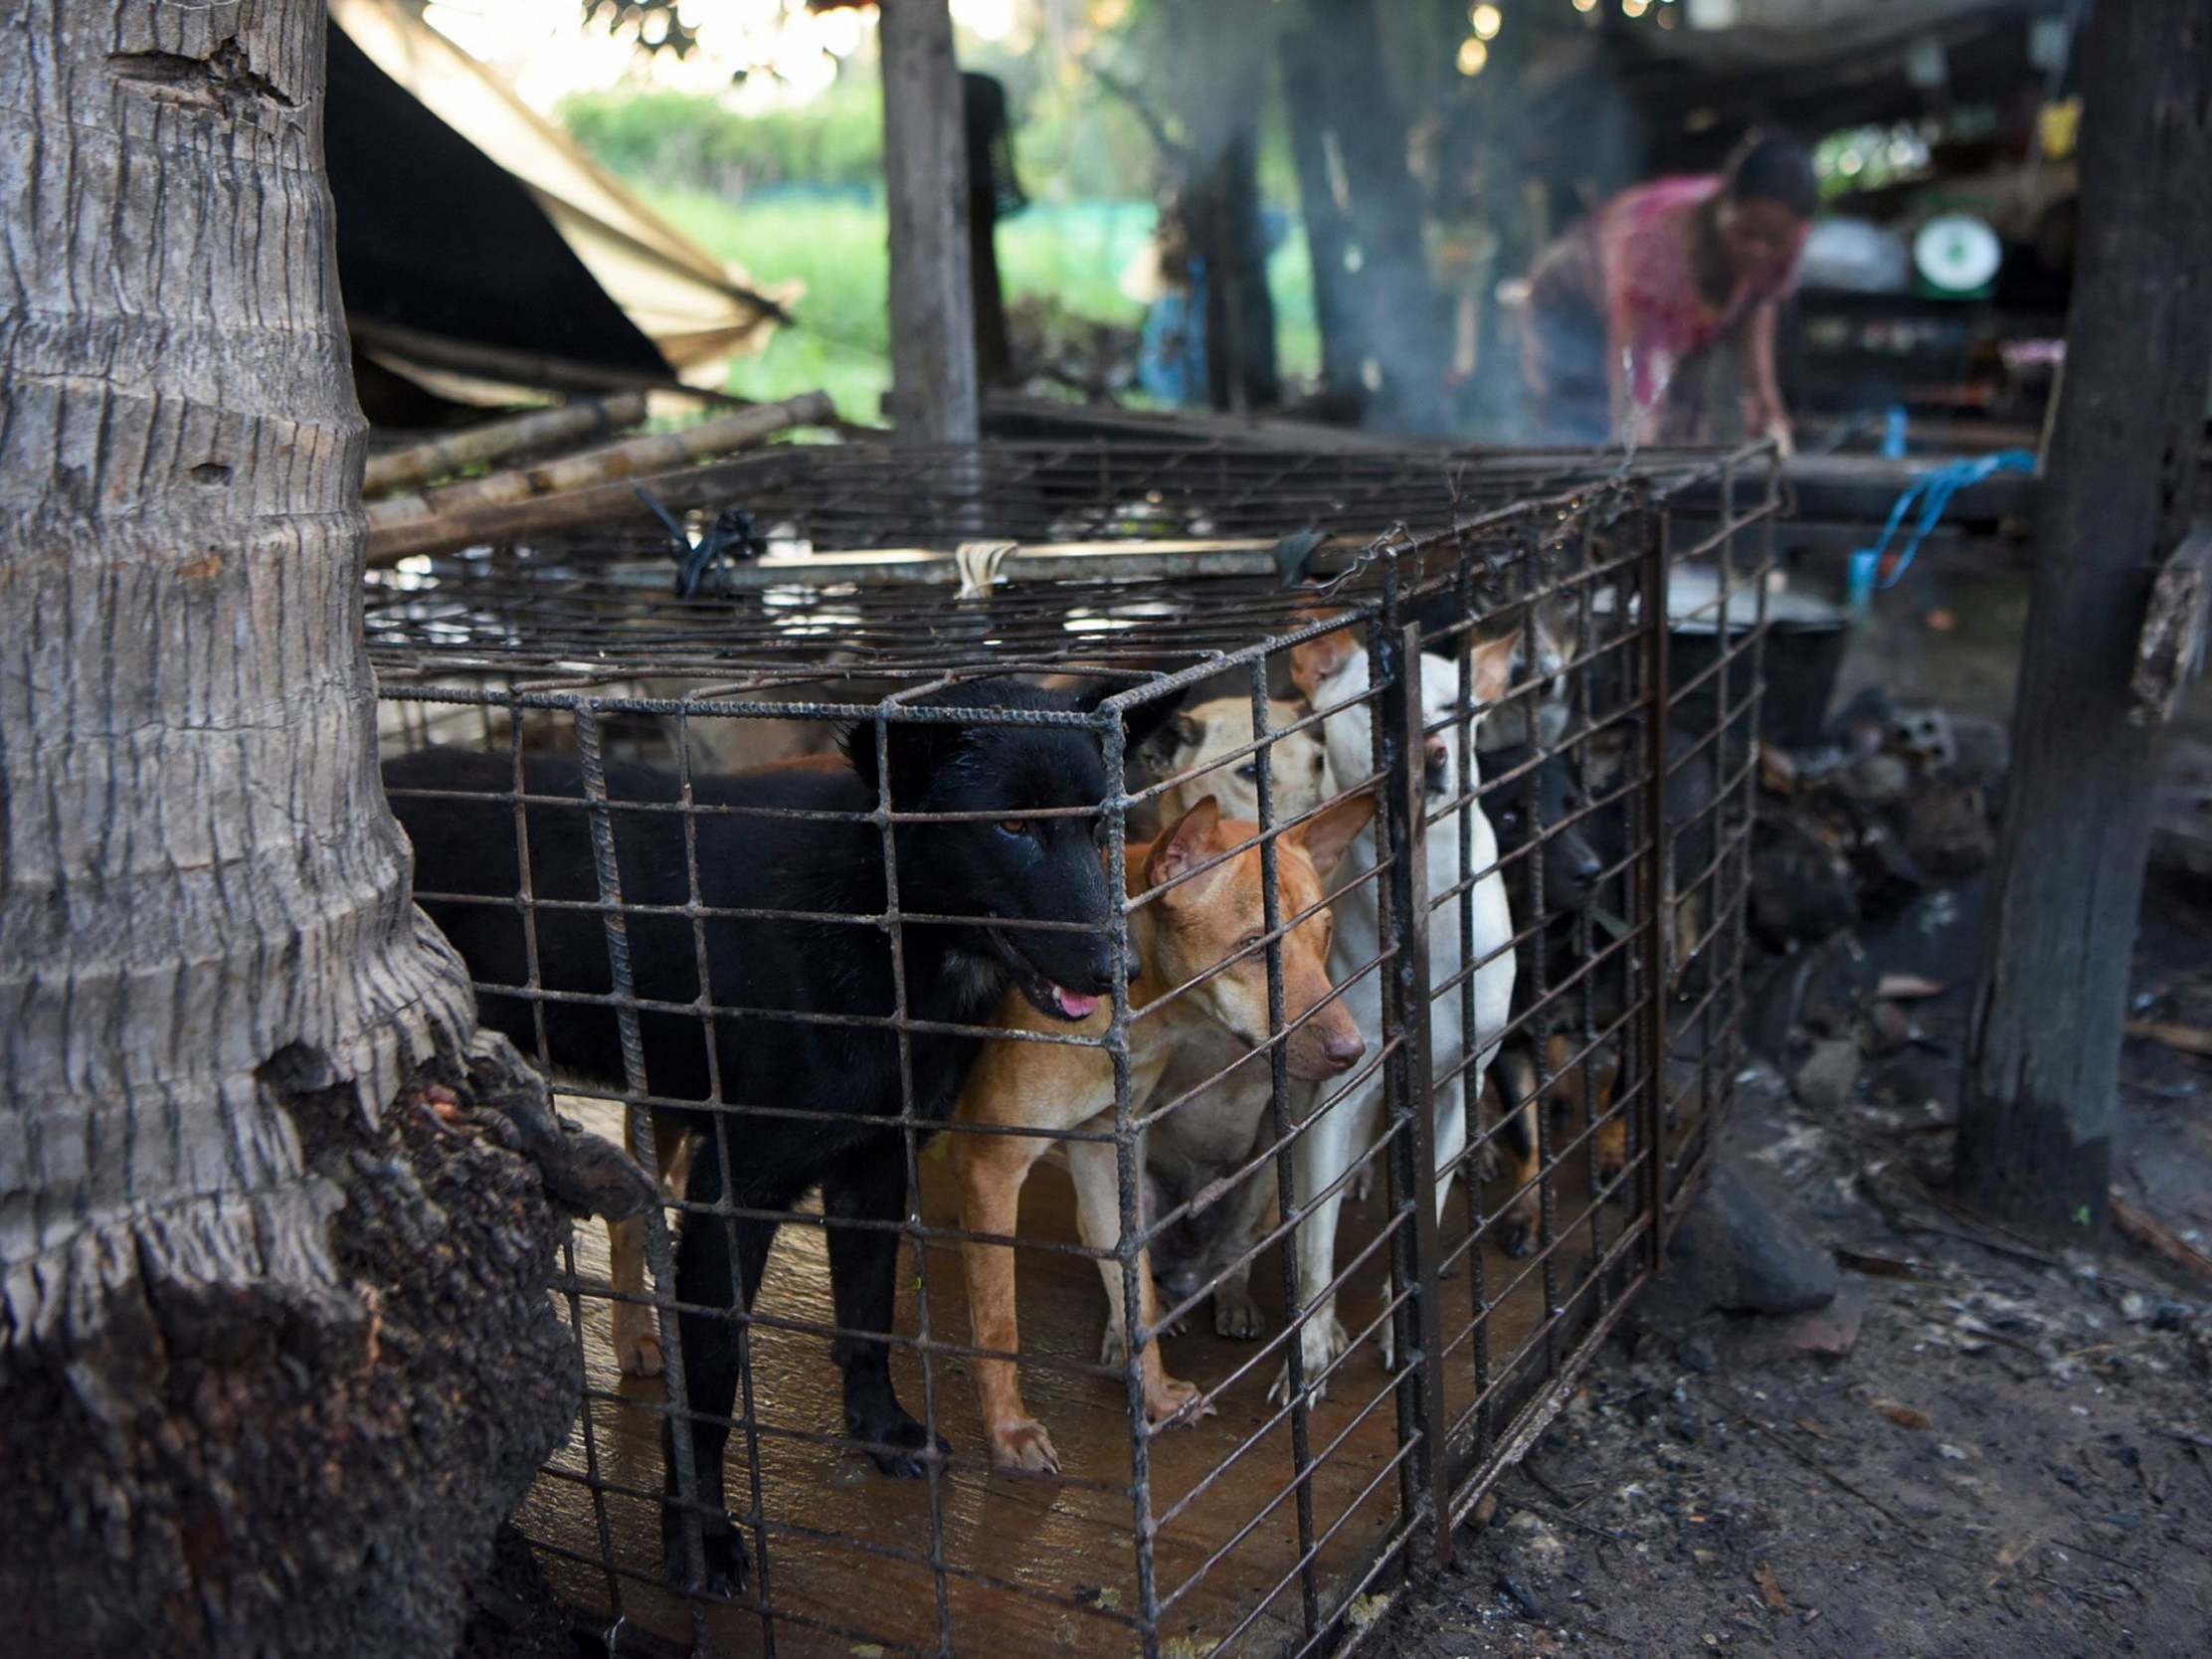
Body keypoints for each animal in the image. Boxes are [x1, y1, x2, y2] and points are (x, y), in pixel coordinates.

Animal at [384, 680, 1177, 1601]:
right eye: (1013, 826)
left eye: (1098, 826)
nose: (1119, 972)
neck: (875, 926)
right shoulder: (734, 1193)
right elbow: (710, 1384)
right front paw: (700, 1536)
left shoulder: (873, 1168)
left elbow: (866, 1316)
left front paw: (881, 1431)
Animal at [960, 796, 1371, 1477]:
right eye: (1254, 947)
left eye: (1327, 935)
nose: (1352, 1052)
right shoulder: (993, 1163)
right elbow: (998, 1322)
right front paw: (1008, 1433)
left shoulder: (1102, 1152)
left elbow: (1135, 1294)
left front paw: (1152, 1394)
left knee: (1218, 1257)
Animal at [1265, 624, 1522, 1406]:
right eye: (1378, 711)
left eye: (1456, 708)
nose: (1432, 752)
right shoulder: (1338, 1089)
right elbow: (1316, 1245)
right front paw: (1311, 1348)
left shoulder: (1457, 1084)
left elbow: (1425, 1207)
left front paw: (1400, 1328)